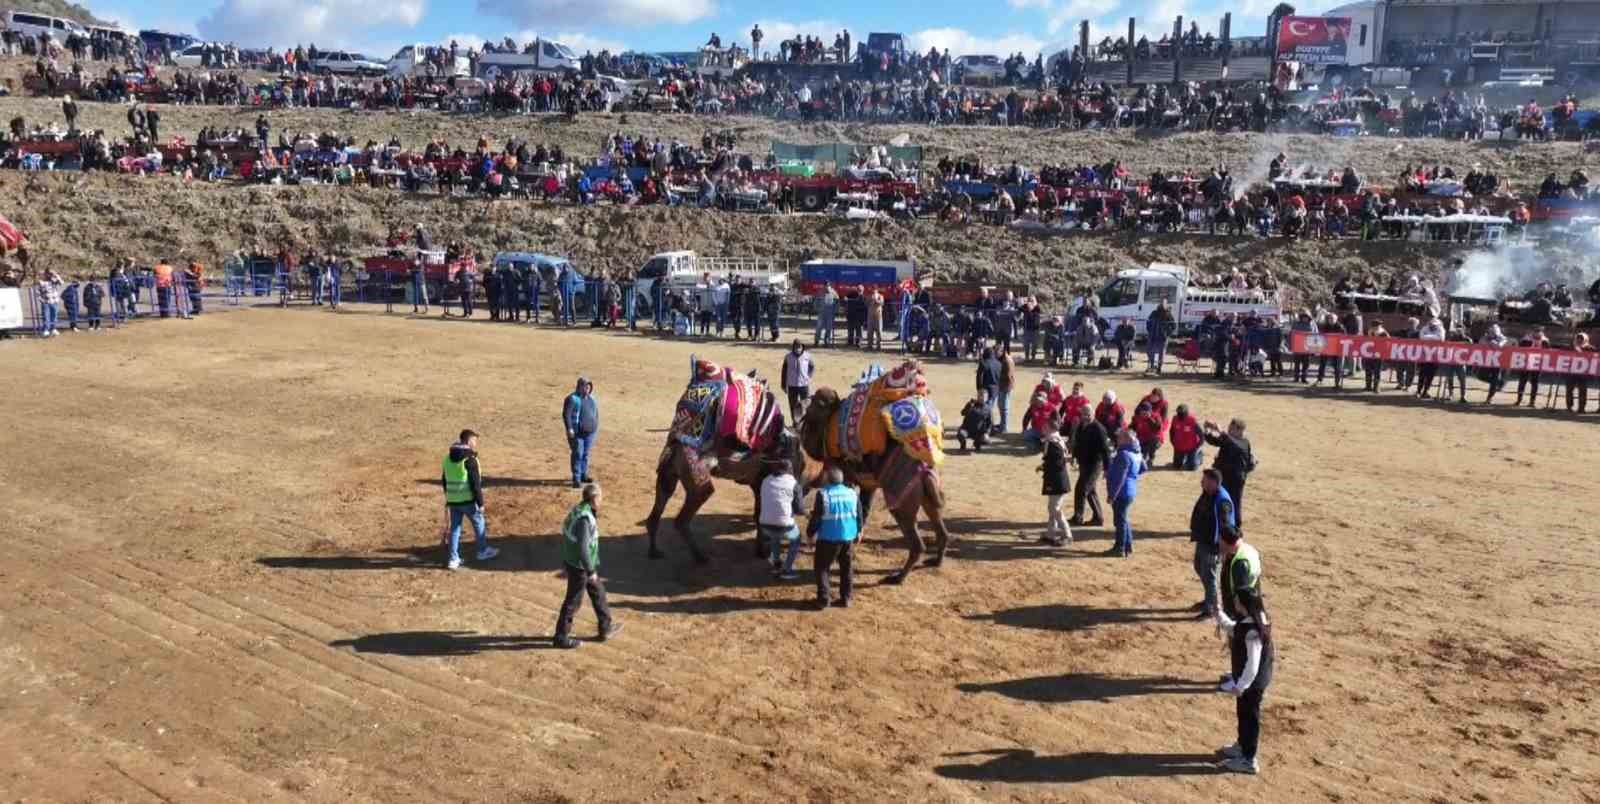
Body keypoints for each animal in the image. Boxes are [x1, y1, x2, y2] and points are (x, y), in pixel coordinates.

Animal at [646, 355, 806, 563]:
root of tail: (674, 444)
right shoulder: (764, 479)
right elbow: (762, 516)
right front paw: (764, 552)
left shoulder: (757, 483)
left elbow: (758, 514)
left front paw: (761, 550)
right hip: (698, 482)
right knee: (681, 520)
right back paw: (700, 557)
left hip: (668, 474)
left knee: (656, 511)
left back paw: (654, 551)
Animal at [800, 360, 947, 582]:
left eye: (814, 407)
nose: (804, 406)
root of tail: (924, 470)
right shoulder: (868, 483)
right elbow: (864, 508)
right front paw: (855, 538)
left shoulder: (845, 472)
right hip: (928, 496)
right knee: (941, 529)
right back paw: (935, 562)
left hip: (902, 504)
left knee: (916, 543)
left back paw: (897, 578)